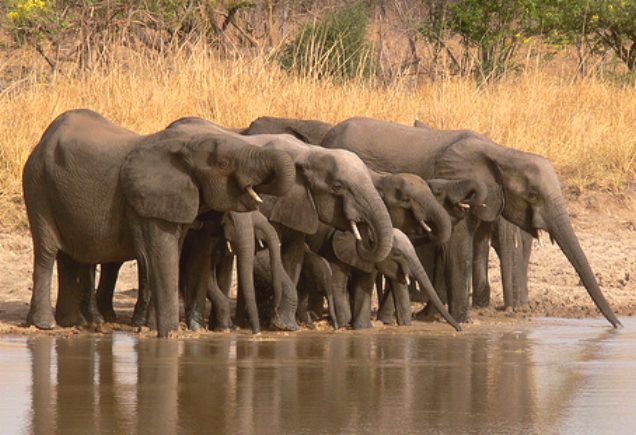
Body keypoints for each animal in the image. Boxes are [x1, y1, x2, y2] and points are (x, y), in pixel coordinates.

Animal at [22, 109, 296, 338]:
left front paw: (156, 330)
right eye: (223, 163)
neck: (184, 145)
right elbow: (159, 255)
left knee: (69, 256)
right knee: (48, 251)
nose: (256, 333)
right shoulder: (145, 202)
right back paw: (46, 324)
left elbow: (173, 255)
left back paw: (73, 323)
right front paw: (168, 335)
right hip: (37, 186)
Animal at [164, 116, 392, 330]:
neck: (309, 153)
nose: (364, 232)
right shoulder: (269, 202)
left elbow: (293, 256)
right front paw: (281, 325)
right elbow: (267, 254)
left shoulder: (299, 205)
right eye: (337, 187)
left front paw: (285, 323)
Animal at [320, 116, 620, 328]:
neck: (501, 153)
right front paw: (461, 319)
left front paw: (435, 316)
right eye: (533, 195)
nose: (617, 325)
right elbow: (457, 245)